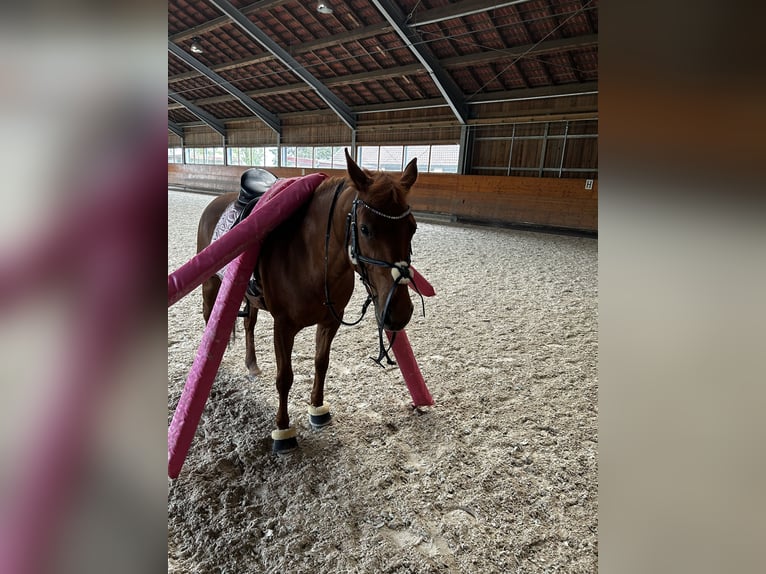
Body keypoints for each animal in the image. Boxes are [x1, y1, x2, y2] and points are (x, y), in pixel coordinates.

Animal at [196, 149, 419, 451]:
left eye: (413, 228)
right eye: (364, 228)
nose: (400, 310)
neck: (311, 257)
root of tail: (216, 202)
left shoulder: (330, 322)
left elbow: (321, 363)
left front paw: (317, 409)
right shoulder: (283, 326)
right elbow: (284, 377)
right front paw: (283, 431)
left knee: (249, 324)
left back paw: (252, 365)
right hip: (211, 284)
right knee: (211, 318)